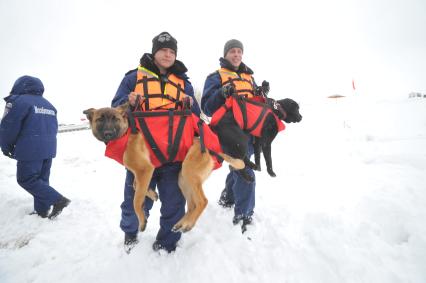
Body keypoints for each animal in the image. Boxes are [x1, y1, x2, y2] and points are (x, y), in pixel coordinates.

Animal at [83, 104, 243, 235]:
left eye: (115, 119)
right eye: (100, 120)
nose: (108, 133)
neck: (126, 133)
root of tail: (213, 150)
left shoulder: (145, 170)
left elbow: (136, 201)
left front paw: (142, 221)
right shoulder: (140, 174)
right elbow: (135, 185)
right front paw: (152, 194)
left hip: (189, 173)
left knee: (202, 201)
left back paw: (188, 224)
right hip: (183, 179)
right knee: (192, 205)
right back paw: (181, 224)